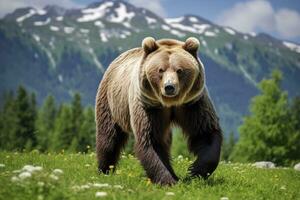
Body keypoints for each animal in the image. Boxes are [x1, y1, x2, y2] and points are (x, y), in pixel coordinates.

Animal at [96, 36, 223, 185]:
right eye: (160, 70)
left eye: (179, 70)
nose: (169, 87)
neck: (170, 103)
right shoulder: (149, 106)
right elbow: (151, 139)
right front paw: (168, 180)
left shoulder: (192, 103)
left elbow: (205, 133)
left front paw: (195, 171)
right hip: (111, 102)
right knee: (109, 135)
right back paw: (105, 169)